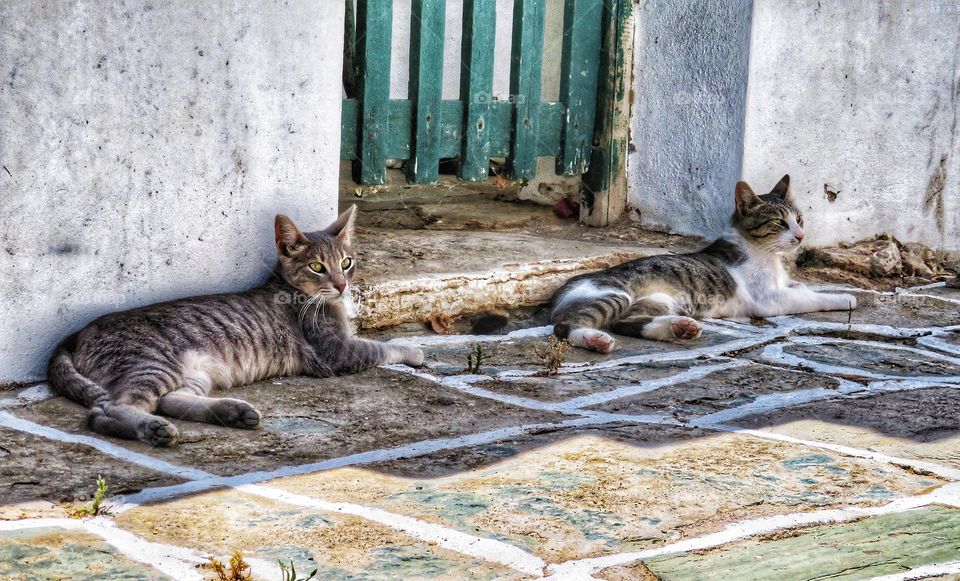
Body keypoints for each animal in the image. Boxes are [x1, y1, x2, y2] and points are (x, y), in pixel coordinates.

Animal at [45, 206, 420, 446]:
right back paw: (152, 428)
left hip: (191, 372)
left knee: (170, 400)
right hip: (152, 363)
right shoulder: (337, 352)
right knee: (106, 411)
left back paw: (233, 412)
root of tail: (75, 335)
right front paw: (413, 349)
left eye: (346, 262)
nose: (342, 285)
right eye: (317, 266)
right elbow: (381, 346)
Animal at [552, 174, 860, 352]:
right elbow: (811, 297)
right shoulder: (768, 299)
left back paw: (680, 328)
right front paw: (844, 297)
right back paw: (595, 339)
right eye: (779, 223)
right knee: (564, 327)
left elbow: (801, 286)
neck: (766, 253)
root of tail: (566, 286)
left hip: (660, 300)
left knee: (626, 322)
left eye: (799, 220)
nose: (800, 236)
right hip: (615, 294)